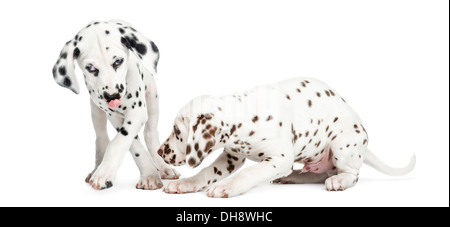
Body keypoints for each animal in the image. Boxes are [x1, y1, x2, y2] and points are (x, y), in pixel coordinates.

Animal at [52, 19, 179, 190]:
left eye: (118, 61)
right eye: (90, 68)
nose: (112, 96)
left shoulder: (137, 112)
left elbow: (120, 141)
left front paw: (105, 172)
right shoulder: (114, 116)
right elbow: (131, 145)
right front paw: (149, 174)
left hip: (152, 99)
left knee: (150, 134)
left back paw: (163, 166)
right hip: (96, 112)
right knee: (101, 138)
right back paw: (96, 167)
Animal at [157, 77, 414, 197]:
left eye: (177, 132)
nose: (160, 152)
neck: (245, 114)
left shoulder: (279, 159)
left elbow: (250, 172)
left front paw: (226, 187)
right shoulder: (231, 157)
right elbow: (206, 172)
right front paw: (185, 183)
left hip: (342, 144)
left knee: (349, 174)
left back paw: (339, 180)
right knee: (318, 174)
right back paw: (293, 177)